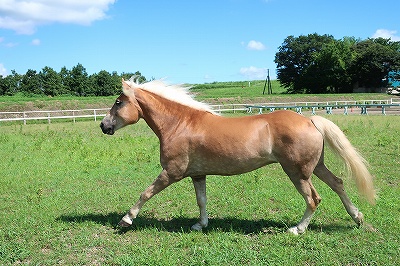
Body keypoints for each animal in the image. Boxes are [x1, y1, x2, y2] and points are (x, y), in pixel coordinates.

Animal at [100, 78, 376, 234]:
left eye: (118, 102)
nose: (104, 126)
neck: (180, 124)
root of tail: (309, 119)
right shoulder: (198, 175)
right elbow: (202, 200)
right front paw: (200, 225)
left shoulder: (172, 172)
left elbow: (146, 193)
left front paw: (126, 220)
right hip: (315, 166)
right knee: (338, 184)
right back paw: (358, 218)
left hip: (297, 172)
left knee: (313, 199)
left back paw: (297, 229)